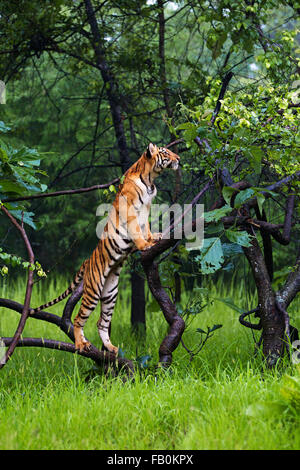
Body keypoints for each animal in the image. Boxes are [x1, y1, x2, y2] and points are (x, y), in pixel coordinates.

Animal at [30, 143, 180, 352]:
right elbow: (136, 230)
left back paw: (111, 348)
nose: (179, 158)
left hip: (110, 294)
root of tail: (86, 261)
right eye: (166, 152)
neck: (151, 180)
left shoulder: (146, 209)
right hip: (93, 291)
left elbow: (146, 227)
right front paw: (145, 244)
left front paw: (153, 237)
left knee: (101, 322)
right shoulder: (131, 209)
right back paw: (80, 343)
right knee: (78, 319)